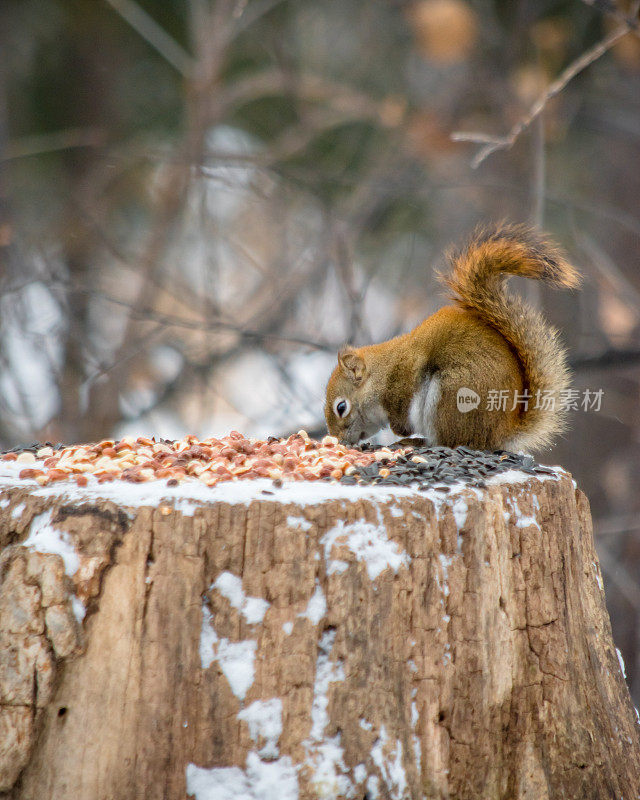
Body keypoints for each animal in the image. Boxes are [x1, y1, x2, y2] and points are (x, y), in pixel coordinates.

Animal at [324, 225, 580, 450]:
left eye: (341, 407)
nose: (339, 440)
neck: (382, 373)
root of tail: (500, 433)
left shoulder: (406, 373)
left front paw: (400, 429)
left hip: (450, 396)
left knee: (449, 441)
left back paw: (418, 441)